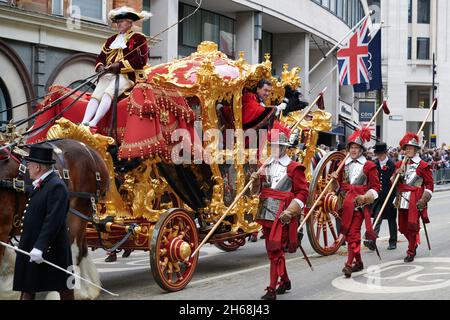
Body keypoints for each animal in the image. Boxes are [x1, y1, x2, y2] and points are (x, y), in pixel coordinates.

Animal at [0, 138, 109, 300]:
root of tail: (91, 151)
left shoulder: (2, 228)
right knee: (81, 248)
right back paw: (87, 288)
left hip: (78, 211)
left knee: (73, 250)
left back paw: (68, 290)